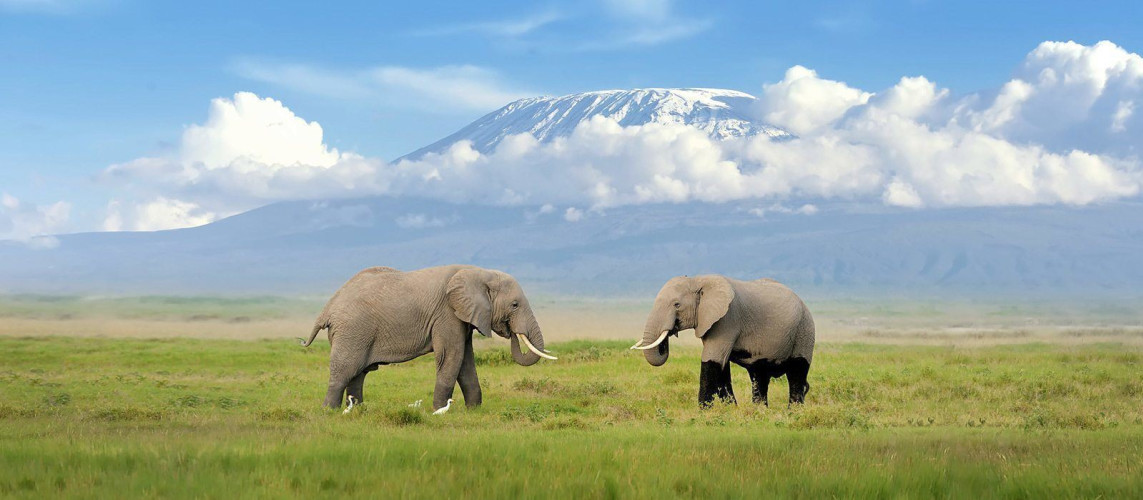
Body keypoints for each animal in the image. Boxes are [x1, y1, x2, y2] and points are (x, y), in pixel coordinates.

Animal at [299, 265, 556, 410]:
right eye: (515, 305)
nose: (509, 329)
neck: (480, 272)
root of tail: (328, 307)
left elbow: (465, 361)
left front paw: (474, 411)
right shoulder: (446, 313)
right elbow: (451, 357)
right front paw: (439, 411)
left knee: (358, 374)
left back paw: (359, 410)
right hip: (352, 331)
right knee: (344, 370)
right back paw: (329, 412)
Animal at [631, 275, 815, 407]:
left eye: (677, 305)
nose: (670, 331)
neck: (698, 280)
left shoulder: (727, 320)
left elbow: (712, 360)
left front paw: (704, 411)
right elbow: (721, 366)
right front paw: (731, 409)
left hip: (805, 330)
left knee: (797, 371)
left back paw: (794, 412)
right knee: (759, 375)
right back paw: (760, 411)